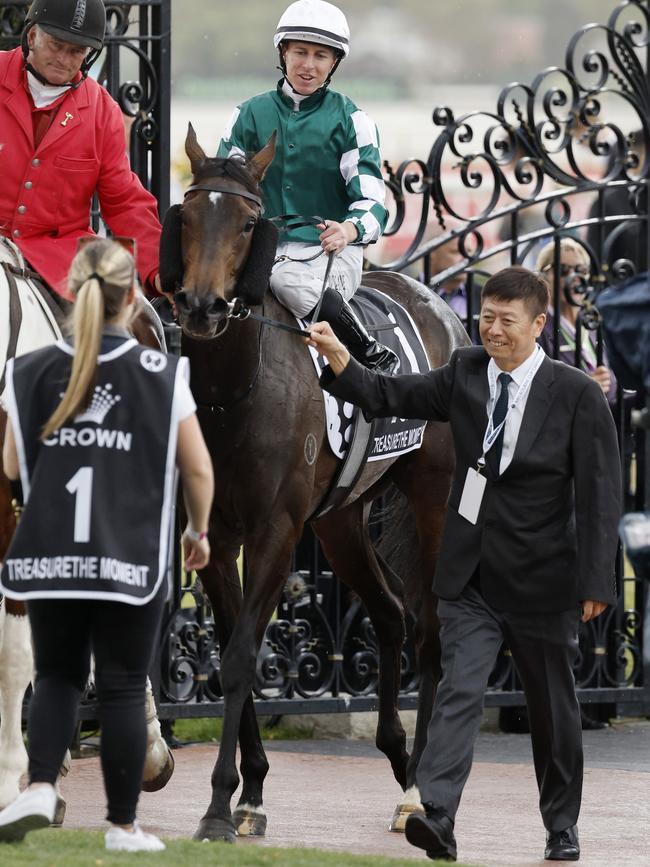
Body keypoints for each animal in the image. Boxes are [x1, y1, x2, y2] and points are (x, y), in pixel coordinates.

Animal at [171, 127, 466, 840]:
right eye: (186, 216)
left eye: (248, 222)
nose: (200, 307)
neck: (235, 393)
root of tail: (442, 308)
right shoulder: (215, 537)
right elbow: (230, 651)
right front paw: (250, 795)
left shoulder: (276, 534)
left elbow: (243, 656)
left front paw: (219, 805)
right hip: (337, 523)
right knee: (388, 613)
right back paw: (399, 759)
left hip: (433, 500)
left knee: (429, 631)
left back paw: (419, 789)